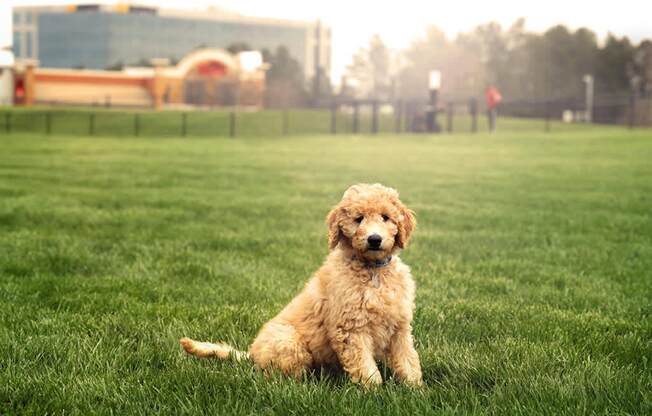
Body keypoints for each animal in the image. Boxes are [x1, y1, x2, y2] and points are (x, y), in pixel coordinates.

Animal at [180, 184, 422, 386]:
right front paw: (373, 392)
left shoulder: (400, 327)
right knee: (277, 376)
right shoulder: (351, 329)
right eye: (358, 219)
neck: (373, 271)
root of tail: (252, 354)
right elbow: (364, 366)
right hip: (289, 343)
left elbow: (408, 359)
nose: (374, 239)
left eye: (386, 217)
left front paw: (415, 388)